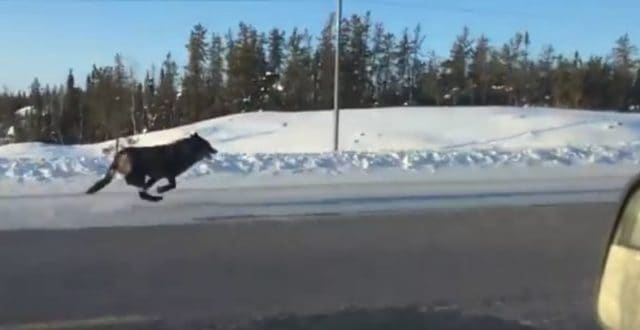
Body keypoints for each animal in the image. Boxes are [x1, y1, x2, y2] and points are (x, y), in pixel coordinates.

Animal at [86, 133, 219, 201]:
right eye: (208, 145)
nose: (216, 151)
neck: (183, 153)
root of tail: (120, 153)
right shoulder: (168, 175)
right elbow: (172, 186)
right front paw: (160, 190)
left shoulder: (155, 177)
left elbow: (153, 186)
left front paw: (157, 190)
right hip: (138, 174)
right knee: (131, 183)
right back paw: (154, 197)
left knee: (139, 190)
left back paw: (152, 197)